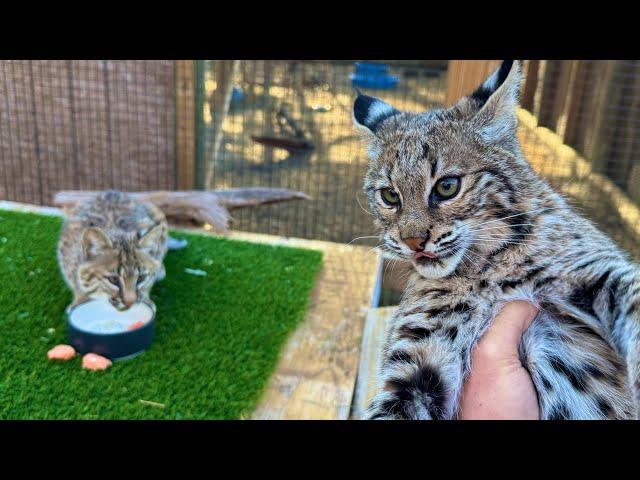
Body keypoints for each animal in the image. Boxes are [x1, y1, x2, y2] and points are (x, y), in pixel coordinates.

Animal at [356, 61, 640, 420]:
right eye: (390, 196)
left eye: (447, 186)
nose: (413, 242)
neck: (486, 265)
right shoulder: (416, 368)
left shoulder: (597, 268)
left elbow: (634, 295)